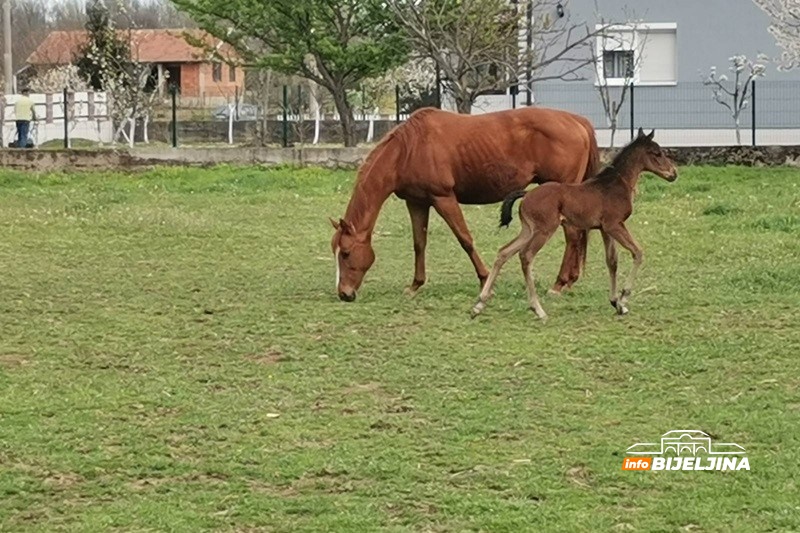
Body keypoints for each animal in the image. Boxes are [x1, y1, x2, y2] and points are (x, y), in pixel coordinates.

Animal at [472, 129, 680, 320]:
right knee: (526, 256)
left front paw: (616, 303)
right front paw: (624, 297)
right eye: (657, 153)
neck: (616, 184)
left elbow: (612, 261)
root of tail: (527, 194)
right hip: (544, 230)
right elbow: (637, 252)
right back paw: (538, 309)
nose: (673, 173)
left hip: (528, 230)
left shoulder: (605, 229)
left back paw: (479, 304)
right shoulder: (615, 225)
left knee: (504, 252)